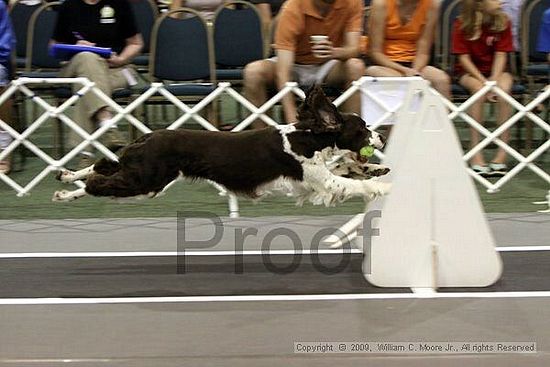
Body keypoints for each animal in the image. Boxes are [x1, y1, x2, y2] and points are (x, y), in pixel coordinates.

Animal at [52, 86, 392, 207]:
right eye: (363, 128)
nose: (383, 138)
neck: (307, 137)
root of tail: (146, 137)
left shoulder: (312, 179)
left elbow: (347, 167)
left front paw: (377, 168)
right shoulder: (317, 180)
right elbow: (352, 182)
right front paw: (383, 186)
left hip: (141, 173)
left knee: (102, 168)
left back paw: (64, 183)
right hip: (148, 180)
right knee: (99, 182)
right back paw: (69, 185)